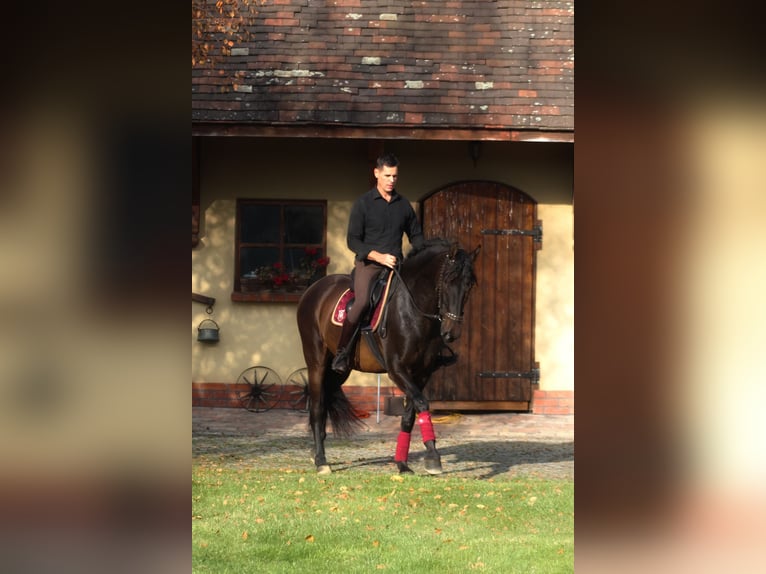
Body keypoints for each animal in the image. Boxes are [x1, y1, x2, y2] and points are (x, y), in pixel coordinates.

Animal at [296, 238, 480, 475]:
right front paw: (433, 457)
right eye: (448, 280)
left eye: (469, 285)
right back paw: (321, 460)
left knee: (326, 398)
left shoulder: (422, 373)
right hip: (316, 361)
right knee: (318, 406)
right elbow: (422, 403)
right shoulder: (397, 369)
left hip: (340, 370)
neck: (413, 310)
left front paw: (402, 463)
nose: (451, 332)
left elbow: (409, 415)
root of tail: (314, 288)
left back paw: (315, 450)